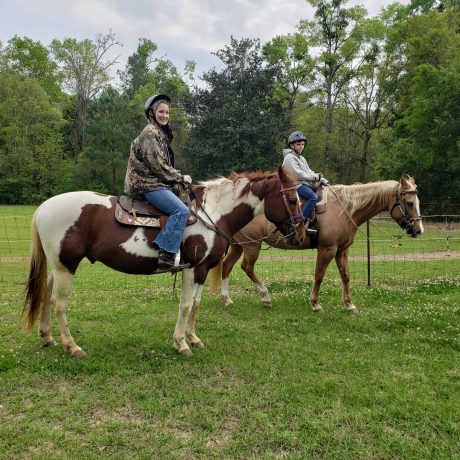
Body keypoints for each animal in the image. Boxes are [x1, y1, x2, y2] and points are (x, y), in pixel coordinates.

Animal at [22, 165, 306, 356]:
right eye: (293, 199)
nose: (301, 233)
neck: (213, 214)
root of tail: (43, 208)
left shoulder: (203, 270)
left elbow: (196, 304)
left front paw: (194, 338)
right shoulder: (192, 268)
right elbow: (185, 305)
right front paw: (181, 343)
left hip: (60, 266)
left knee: (47, 294)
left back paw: (48, 337)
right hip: (66, 266)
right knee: (59, 303)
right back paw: (72, 346)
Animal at [211, 175, 424, 312]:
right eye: (410, 203)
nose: (418, 230)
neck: (345, 209)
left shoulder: (342, 251)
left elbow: (346, 276)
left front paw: (349, 304)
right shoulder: (327, 249)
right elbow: (319, 276)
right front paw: (315, 304)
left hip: (238, 246)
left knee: (227, 267)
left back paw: (227, 299)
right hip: (251, 246)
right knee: (246, 267)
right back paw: (265, 296)